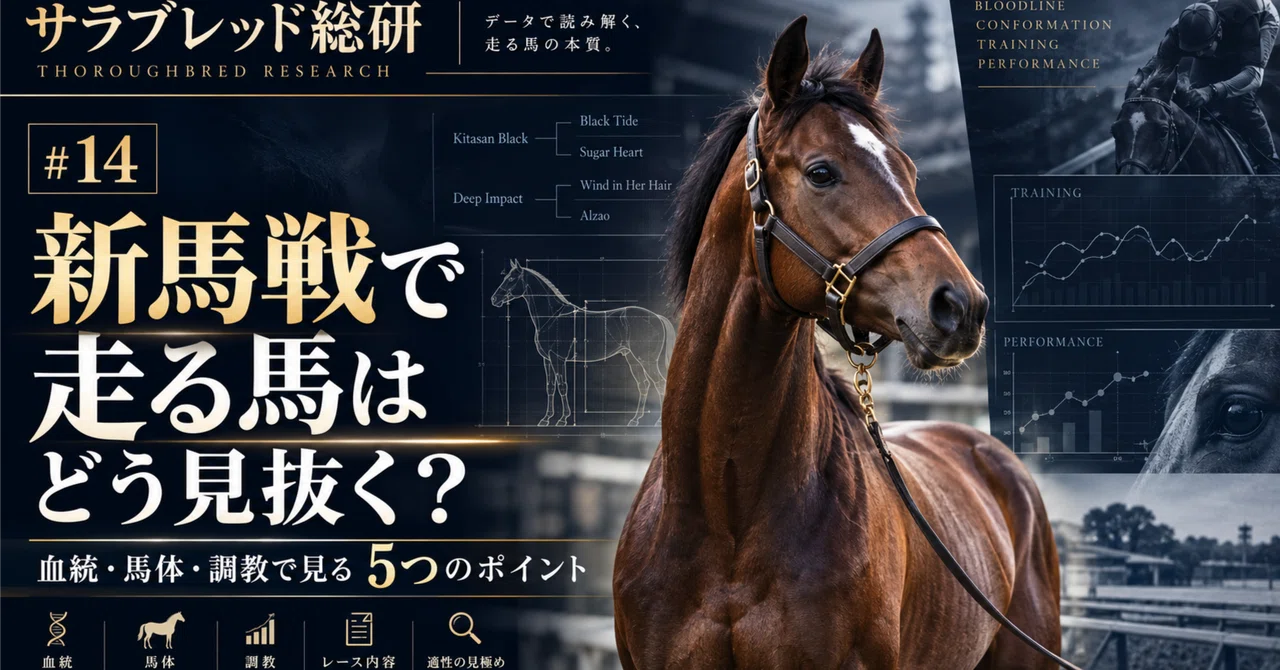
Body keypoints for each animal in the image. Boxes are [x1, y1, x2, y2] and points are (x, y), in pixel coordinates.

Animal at [490, 260, 675, 427]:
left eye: (511, 279)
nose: (494, 299)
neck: (552, 317)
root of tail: (657, 317)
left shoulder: (558, 359)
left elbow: (562, 386)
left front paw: (563, 420)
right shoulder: (547, 360)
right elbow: (550, 387)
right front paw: (546, 419)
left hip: (647, 361)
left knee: (660, 384)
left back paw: (658, 421)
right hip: (632, 358)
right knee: (643, 385)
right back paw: (635, 420)